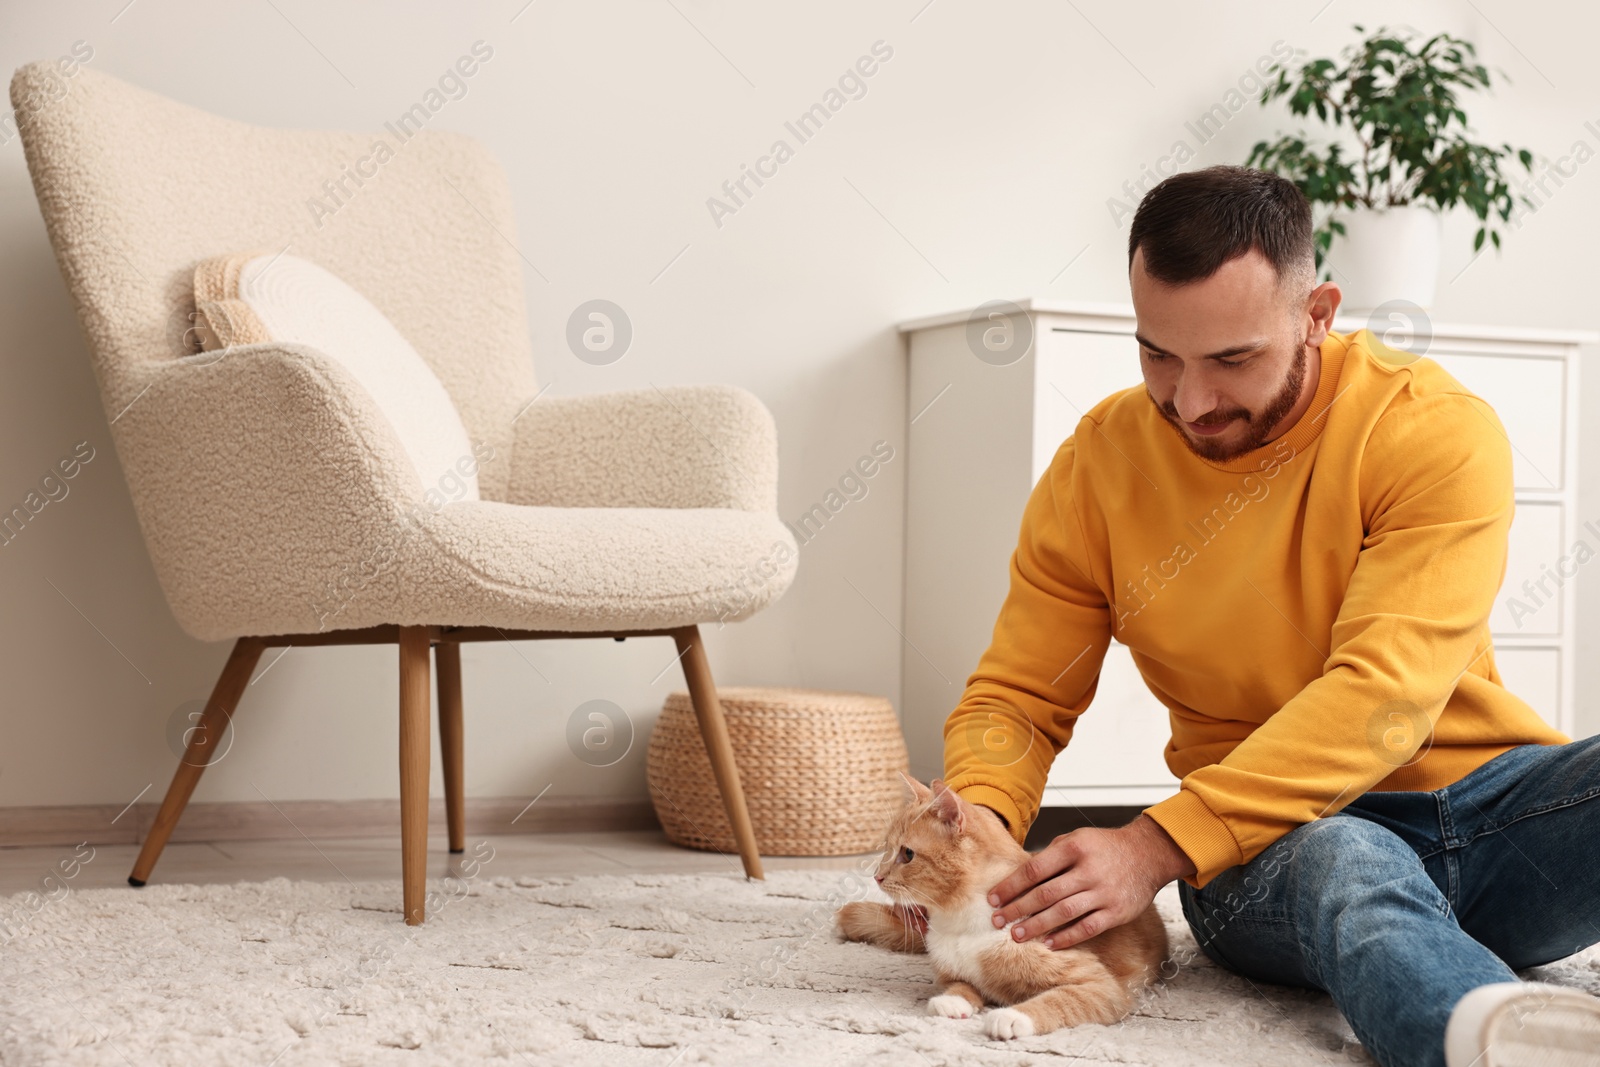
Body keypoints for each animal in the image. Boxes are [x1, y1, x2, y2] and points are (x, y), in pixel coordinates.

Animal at [838, 777, 1164, 1043]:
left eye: (907, 854)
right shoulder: (951, 971)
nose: (877, 876)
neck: (960, 924)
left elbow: (1060, 1000)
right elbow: (960, 984)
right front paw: (953, 1001)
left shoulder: (1101, 987)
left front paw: (1012, 1017)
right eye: (886, 849)